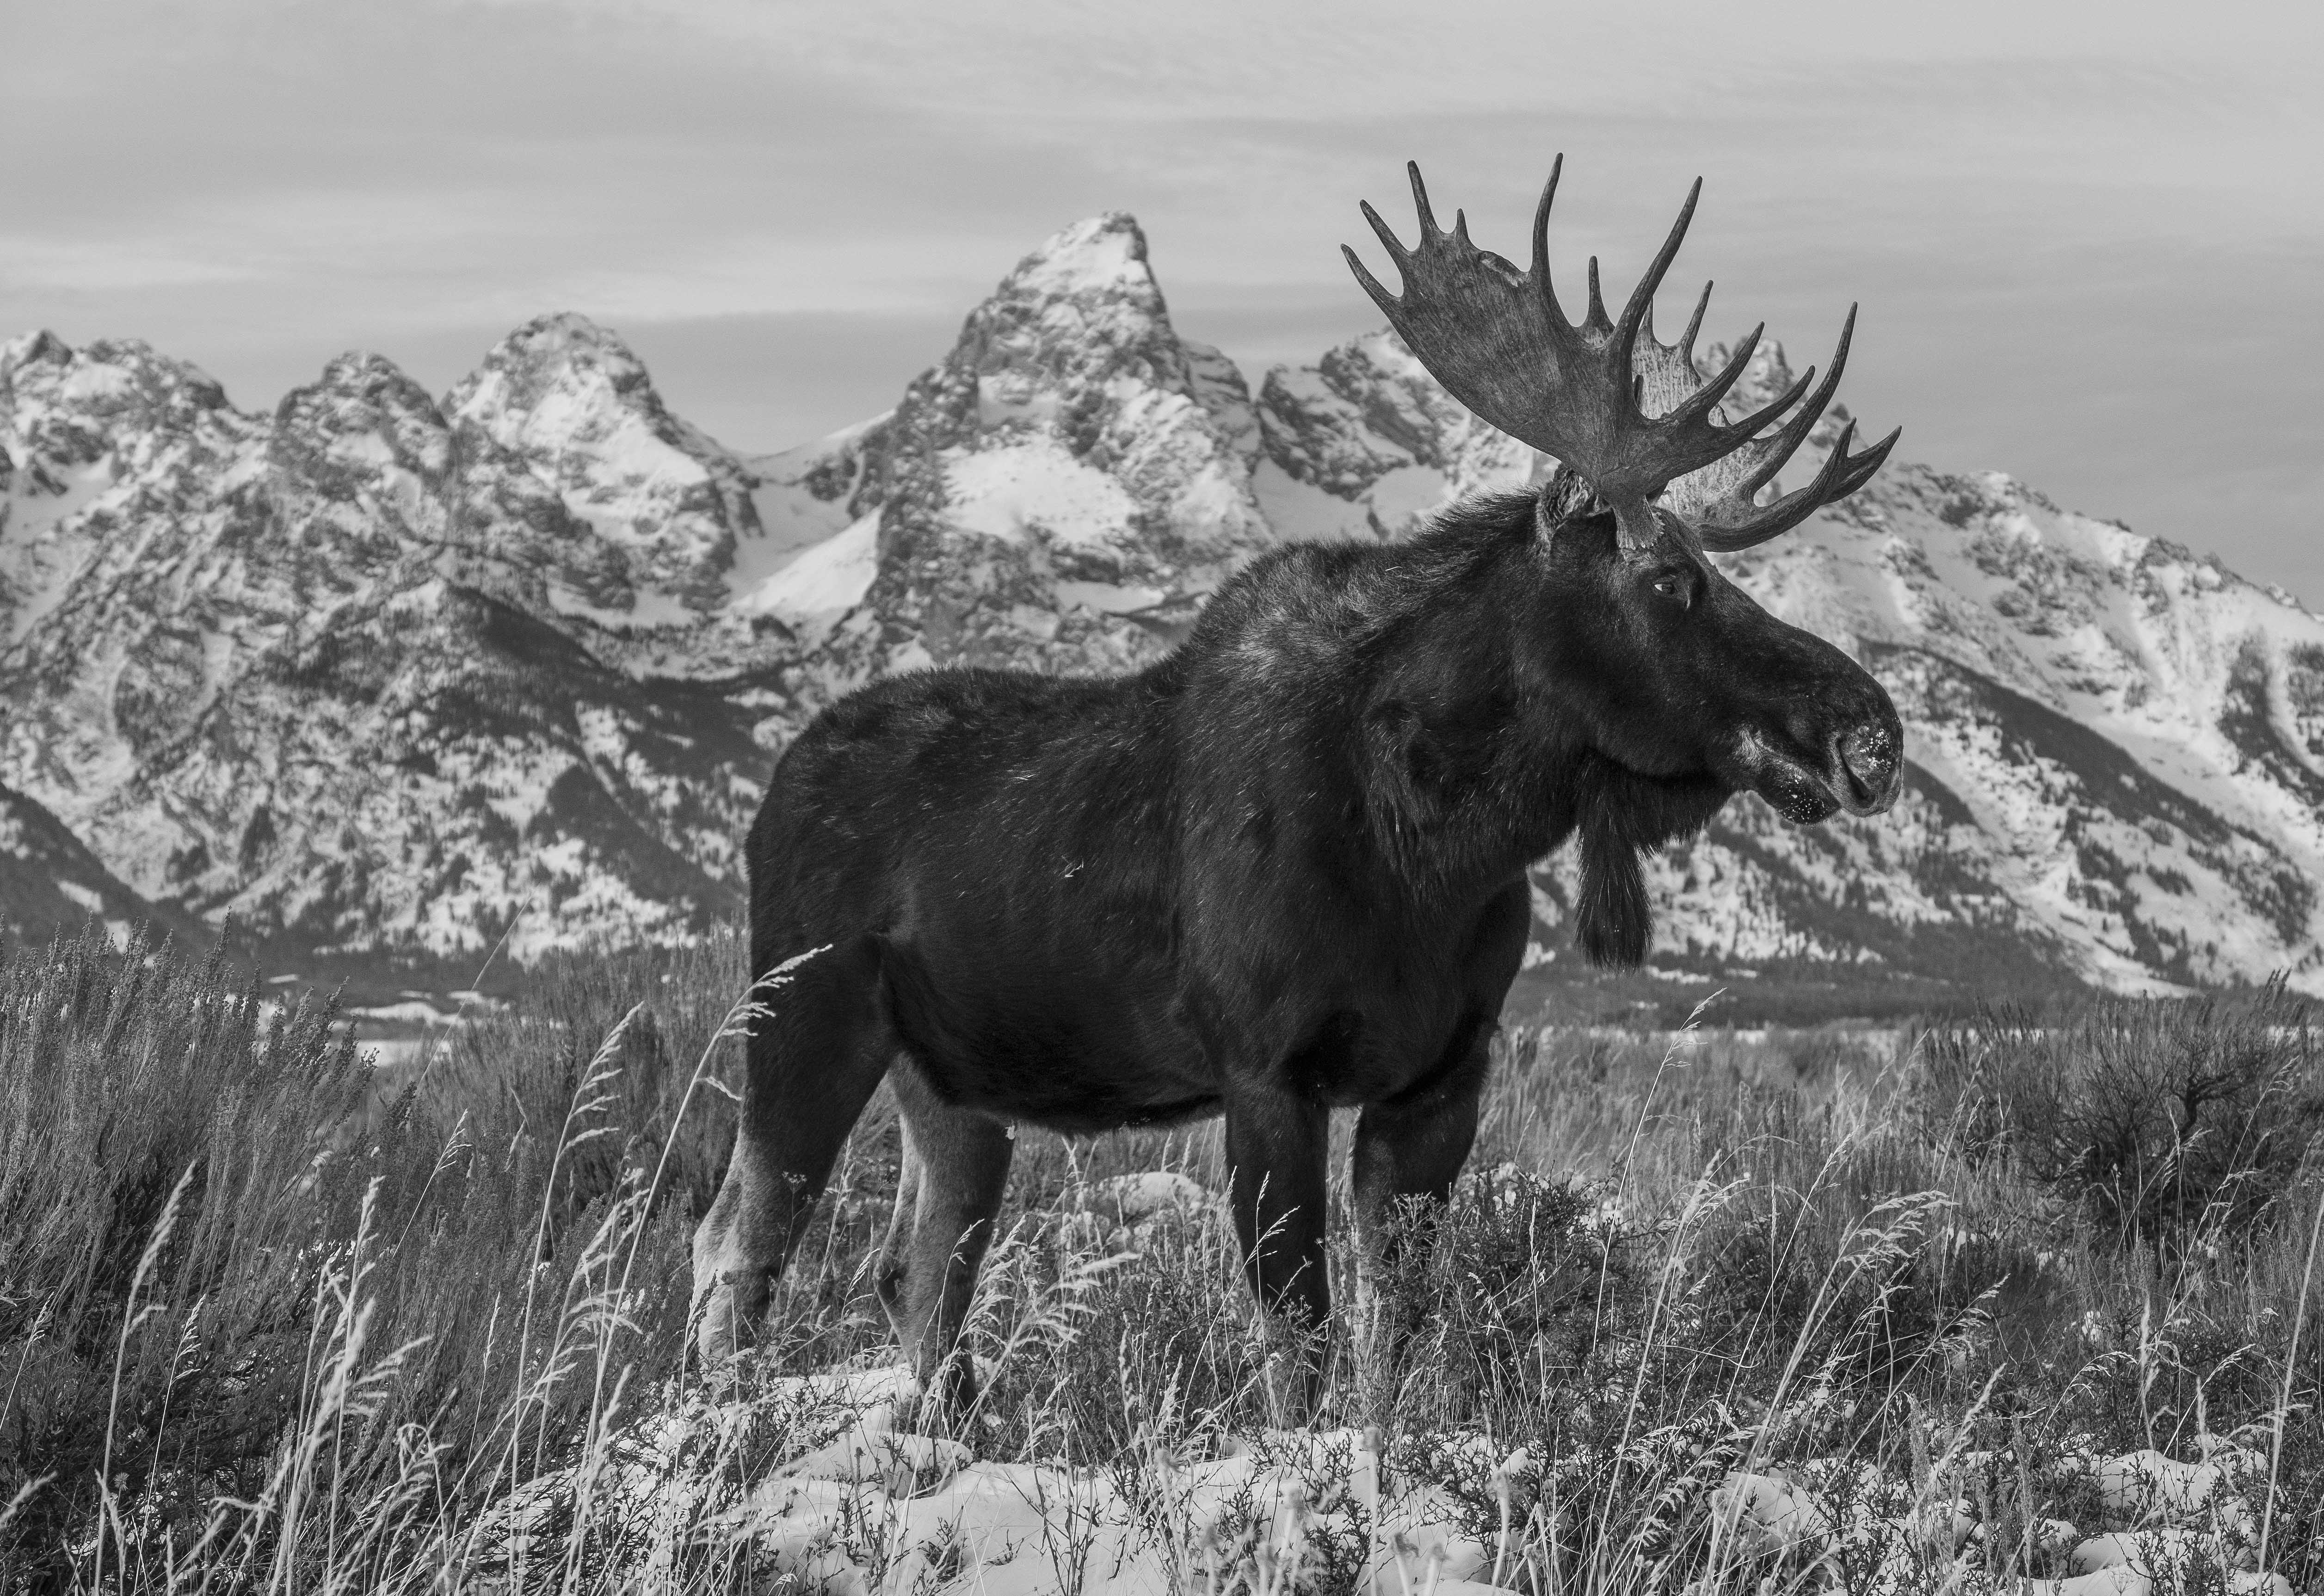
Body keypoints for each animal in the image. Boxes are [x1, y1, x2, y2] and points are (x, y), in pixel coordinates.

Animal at [688, 159, 1905, 1412]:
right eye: (1669, 578)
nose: (1870, 732)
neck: (1438, 845)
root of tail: (773, 791)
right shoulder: (1266, 1072)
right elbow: (1297, 1341)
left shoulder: (1440, 1077)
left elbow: (1395, 1333)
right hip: (803, 1017)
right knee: (736, 1242)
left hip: (958, 1086)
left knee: (916, 1271)